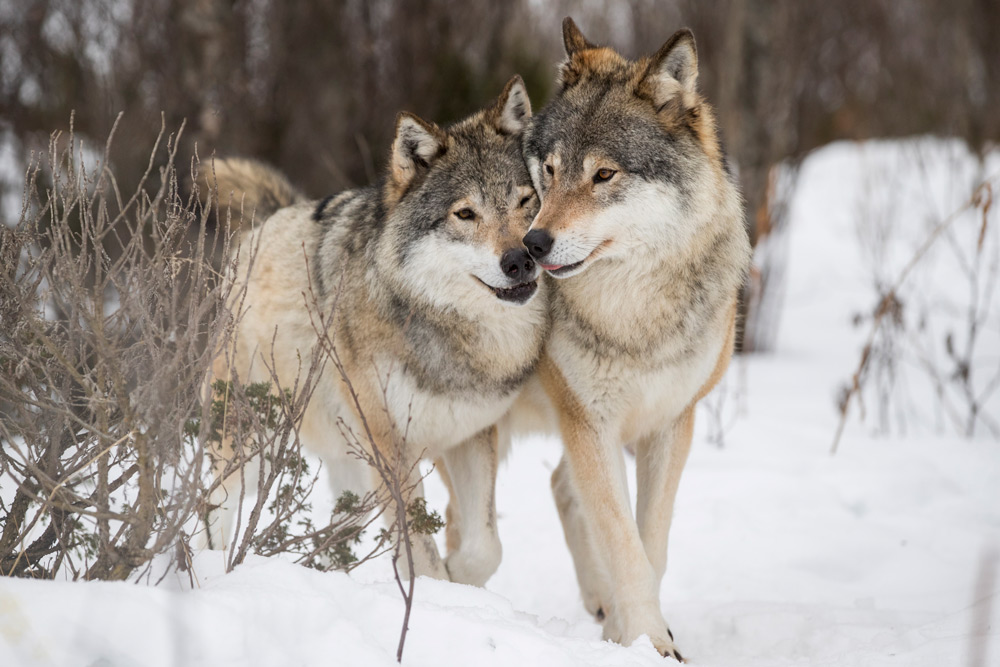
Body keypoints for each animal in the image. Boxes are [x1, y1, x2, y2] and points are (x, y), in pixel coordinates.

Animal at [203, 77, 548, 588]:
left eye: (526, 201)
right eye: (465, 214)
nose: (520, 260)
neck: (451, 331)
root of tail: (263, 223)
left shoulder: (470, 436)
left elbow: (485, 547)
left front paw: (461, 580)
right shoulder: (391, 449)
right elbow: (421, 554)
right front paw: (438, 591)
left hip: (350, 469)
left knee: (336, 529)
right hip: (250, 445)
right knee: (211, 507)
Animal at [516, 18, 752, 660]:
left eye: (604, 175)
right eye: (551, 170)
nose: (532, 244)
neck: (633, 315)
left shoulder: (671, 424)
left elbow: (651, 544)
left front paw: (641, 636)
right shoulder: (589, 423)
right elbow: (626, 548)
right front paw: (648, 640)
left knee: (559, 485)